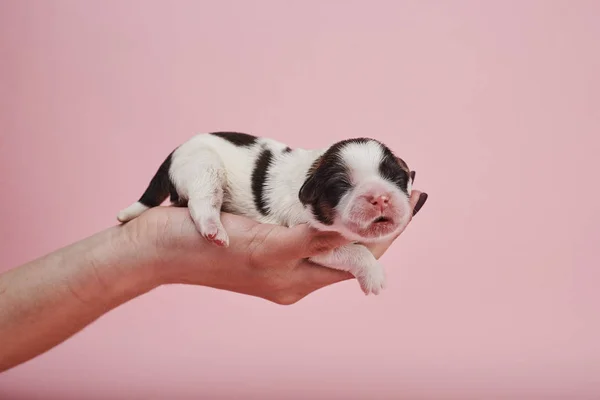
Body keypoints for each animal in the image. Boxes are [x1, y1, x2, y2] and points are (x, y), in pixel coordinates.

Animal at [116, 133, 418, 296]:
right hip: (204, 166)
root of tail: (176, 151)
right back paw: (214, 229)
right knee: (201, 203)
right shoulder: (310, 238)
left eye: (394, 177)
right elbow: (355, 251)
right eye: (342, 186)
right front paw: (374, 275)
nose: (380, 197)